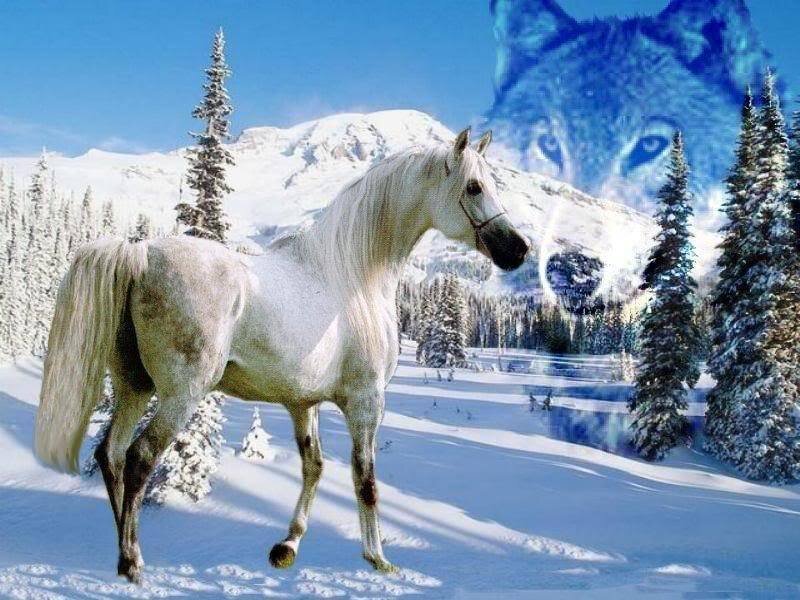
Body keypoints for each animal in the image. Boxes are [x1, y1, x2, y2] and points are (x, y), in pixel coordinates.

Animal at [34, 127, 530, 583]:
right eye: (474, 187)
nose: (518, 249)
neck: (353, 276)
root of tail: (139, 254)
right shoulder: (366, 403)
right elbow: (365, 479)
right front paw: (377, 558)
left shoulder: (302, 404)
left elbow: (314, 468)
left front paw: (287, 546)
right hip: (179, 394)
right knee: (139, 459)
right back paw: (133, 561)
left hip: (134, 387)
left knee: (111, 456)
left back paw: (122, 553)